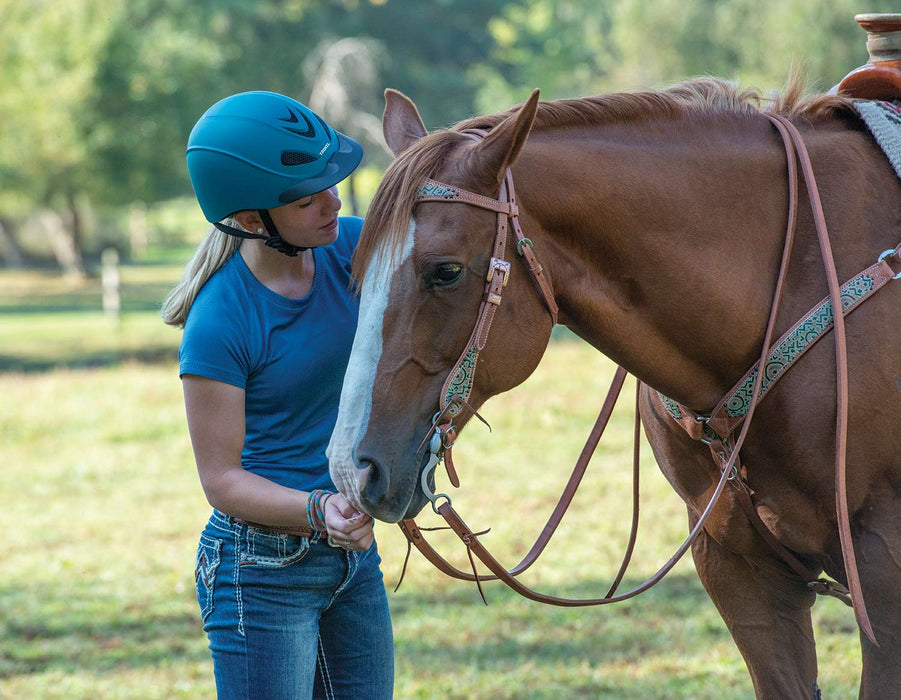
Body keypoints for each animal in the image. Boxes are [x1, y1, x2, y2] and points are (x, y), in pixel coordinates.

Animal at [328, 79, 900, 696]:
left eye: (446, 271)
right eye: (357, 271)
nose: (351, 468)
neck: (798, 275)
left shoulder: (882, 572)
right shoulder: (741, 573)